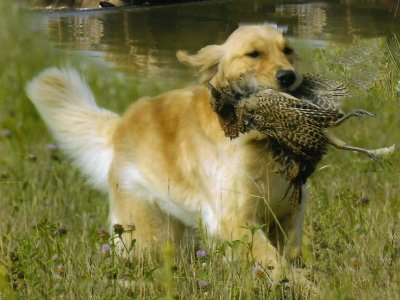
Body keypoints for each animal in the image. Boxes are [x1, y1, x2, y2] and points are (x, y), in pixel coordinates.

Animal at [26, 25, 304, 282]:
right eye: (253, 54)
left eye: (288, 50)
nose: (288, 76)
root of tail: (121, 124)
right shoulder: (234, 218)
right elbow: (273, 260)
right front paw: (302, 285)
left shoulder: (288, 213)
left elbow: (289, 252)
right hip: (149, 233)